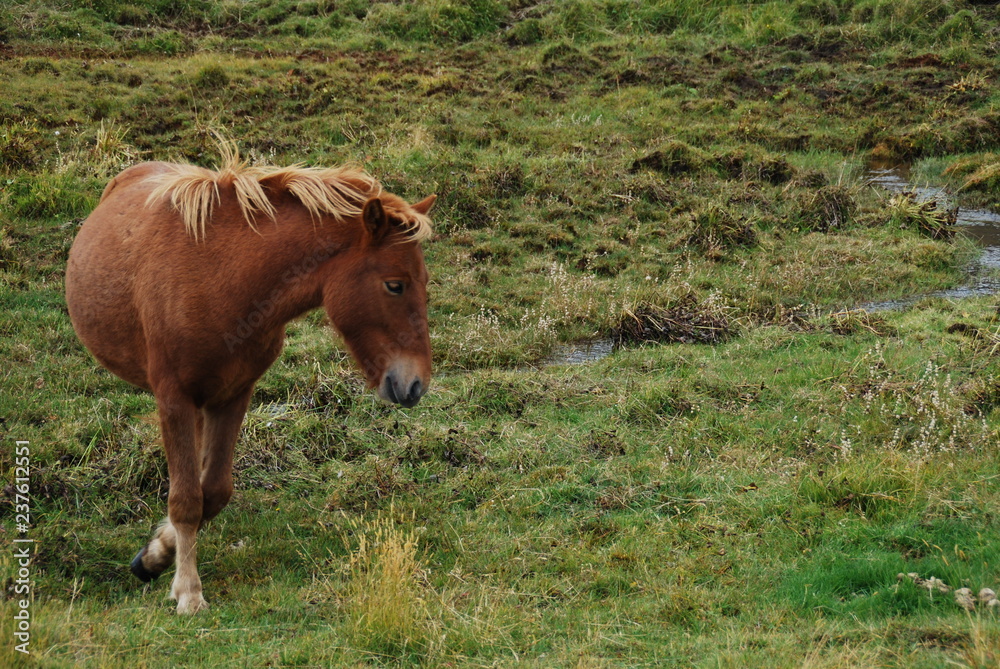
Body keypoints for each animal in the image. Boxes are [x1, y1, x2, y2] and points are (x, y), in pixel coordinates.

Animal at [65, 145, 435, 614]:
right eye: (394, 285)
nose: (416, 383)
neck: (220, 278)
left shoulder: (235, 394)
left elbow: (213, 491)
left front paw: (156, 556)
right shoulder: (174, 398)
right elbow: (187, 499)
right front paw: (188, 592)